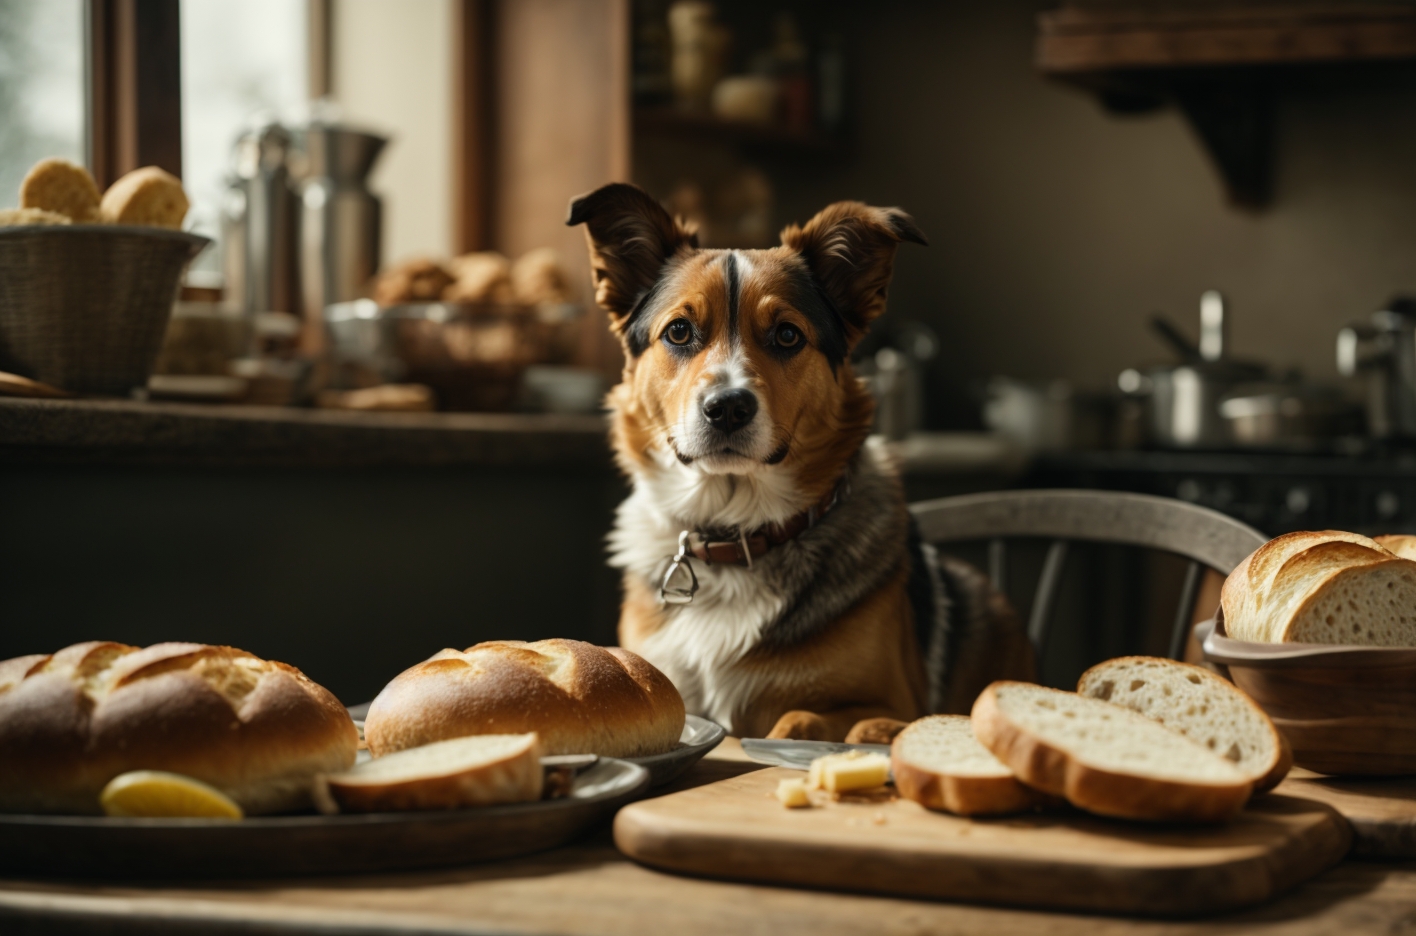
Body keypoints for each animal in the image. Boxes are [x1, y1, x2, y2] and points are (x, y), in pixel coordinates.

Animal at [569, 180, 1036, 736]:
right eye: (679, 332)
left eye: (788, 335)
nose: (727, 408)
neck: (735, 538)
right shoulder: (666, 682)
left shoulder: (892, 703)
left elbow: (800, 717)